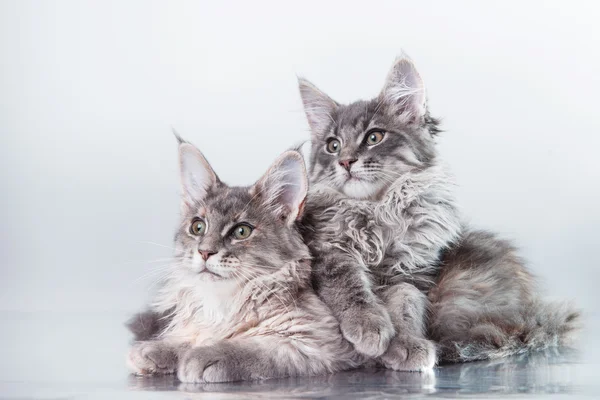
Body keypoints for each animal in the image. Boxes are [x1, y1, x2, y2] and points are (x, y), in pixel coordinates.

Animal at [125, 140, 360, 382]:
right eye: (197, 227)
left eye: (241, 231)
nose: (205, 252)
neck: (226, 301)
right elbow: (194, 336)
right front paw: (157, 349)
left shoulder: (318, 344)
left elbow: (251, 348)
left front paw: (204, 356)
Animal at [298, 54, 580, 368]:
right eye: (333, 146)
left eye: (374, 137)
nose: (345, 161)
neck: (378, 209)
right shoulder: (326, 250)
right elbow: (349, 286)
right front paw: (369, 325)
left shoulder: (413, 272)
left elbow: (406, 301)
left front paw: (406, 343)